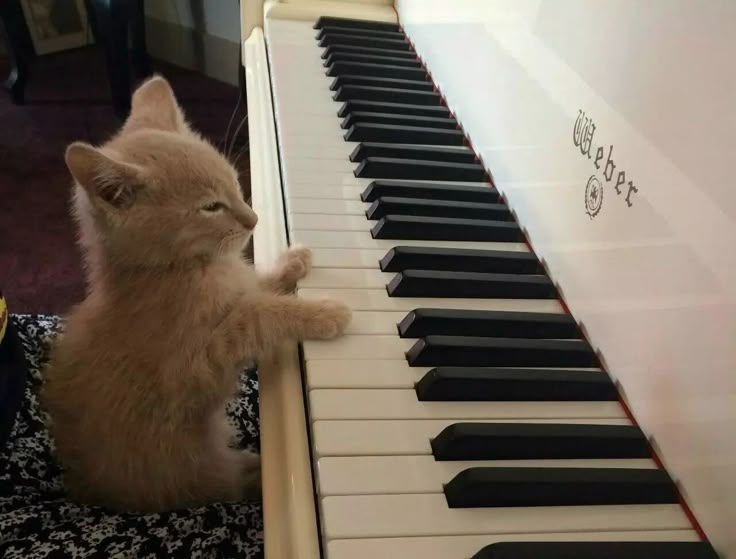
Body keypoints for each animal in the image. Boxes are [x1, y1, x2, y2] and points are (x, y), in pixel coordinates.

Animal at [40, 76, 354, 516]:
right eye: (211, 206)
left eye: (235, 183)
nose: (254, 219)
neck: (183, 267)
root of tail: (84, 487)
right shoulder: (194, 362)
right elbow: (258, 316)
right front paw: (322, 313)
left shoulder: (236, 286)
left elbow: (255, 289)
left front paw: (291, 263)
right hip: (189, 473)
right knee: (226, 483)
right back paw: (255, 473)